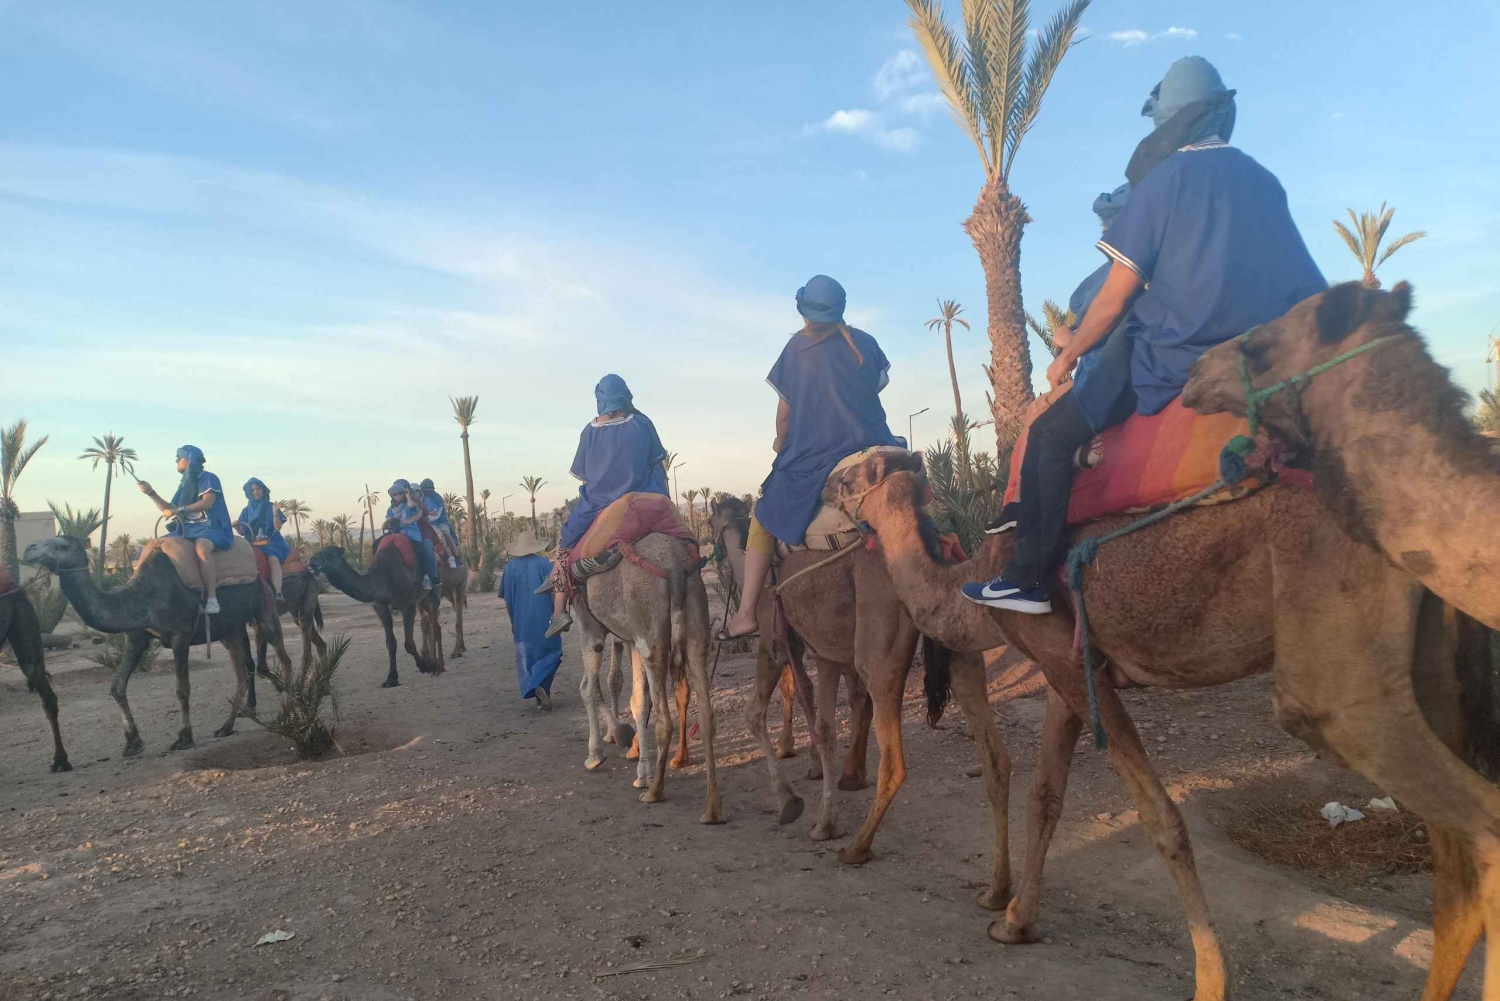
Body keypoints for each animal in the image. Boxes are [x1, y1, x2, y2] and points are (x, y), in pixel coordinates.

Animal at [24, 535, 260, 756]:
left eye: (62, 545)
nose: (29, 549)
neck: (141, 599)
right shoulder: (136, 637)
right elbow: (117, 687)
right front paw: (133, 742)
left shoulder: (180, 636)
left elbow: (182, 689)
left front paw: (185, 738)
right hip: (230, 629)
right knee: (242, 671)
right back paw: (227, 727)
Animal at [310, 544, 441, 687]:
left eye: (330, 554)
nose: (312, 561)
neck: (381, 578)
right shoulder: (380, 606)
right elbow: (390, 643)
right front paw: (391, 678)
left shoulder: (407, 605)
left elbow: (409, 643)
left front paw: (425, 666)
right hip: (422, 599)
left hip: (437, 590)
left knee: (435, 623)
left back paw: (437, 665)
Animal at [572, 533, 724, 823]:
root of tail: (675, 566)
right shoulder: (631, 639)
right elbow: (638, 701)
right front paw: (638, 763)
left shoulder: (591, 625)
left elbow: (588, 688)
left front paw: (595, 755)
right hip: (696, 629)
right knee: (706, 716)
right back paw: (711, 809)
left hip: (652, 638)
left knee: (664, 721)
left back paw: (654, 792)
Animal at [707, 495, 1012, 892]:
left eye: (709, 522)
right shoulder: (825, 654)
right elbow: (825, 726)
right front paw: (826, 812)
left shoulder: (774, 646)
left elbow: (758, 713)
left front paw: (794, 803)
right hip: (957, 638)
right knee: (995, 758)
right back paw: (999, 893)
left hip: (879, 651)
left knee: (894, 759)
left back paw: (857, 847)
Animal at [828, 439, 1500, 1000]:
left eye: (844, 479)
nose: (819, 500)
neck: (975, 581)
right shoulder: (1070, 664)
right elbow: (1046, 795)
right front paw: (1012, 918)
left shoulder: (1062, 657)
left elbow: (1160, 817)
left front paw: (1211, 980)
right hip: (1433, 667)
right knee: (1455, 868)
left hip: (1343, 681)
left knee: (1479, 833)